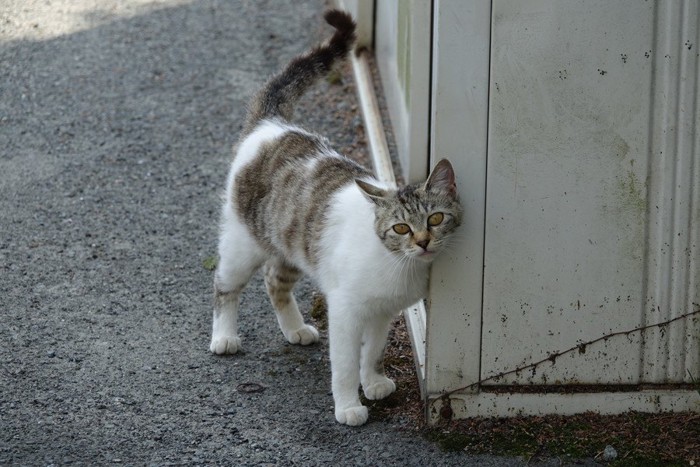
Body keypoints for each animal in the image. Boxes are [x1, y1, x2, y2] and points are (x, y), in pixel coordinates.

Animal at [209, 10, 460, 428]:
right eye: (401, 228)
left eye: (436, 218)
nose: (423, 242)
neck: (397, 264)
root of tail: (271, 125)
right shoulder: (345, 310)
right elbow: (343, 364)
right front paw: (347, 405)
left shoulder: (382, 312)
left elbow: (372, 351)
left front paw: (372, 381)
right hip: (242, 243)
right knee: (225, 285)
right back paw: (224, 337)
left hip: (292, 248)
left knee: (274, 281)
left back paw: (295, 329)